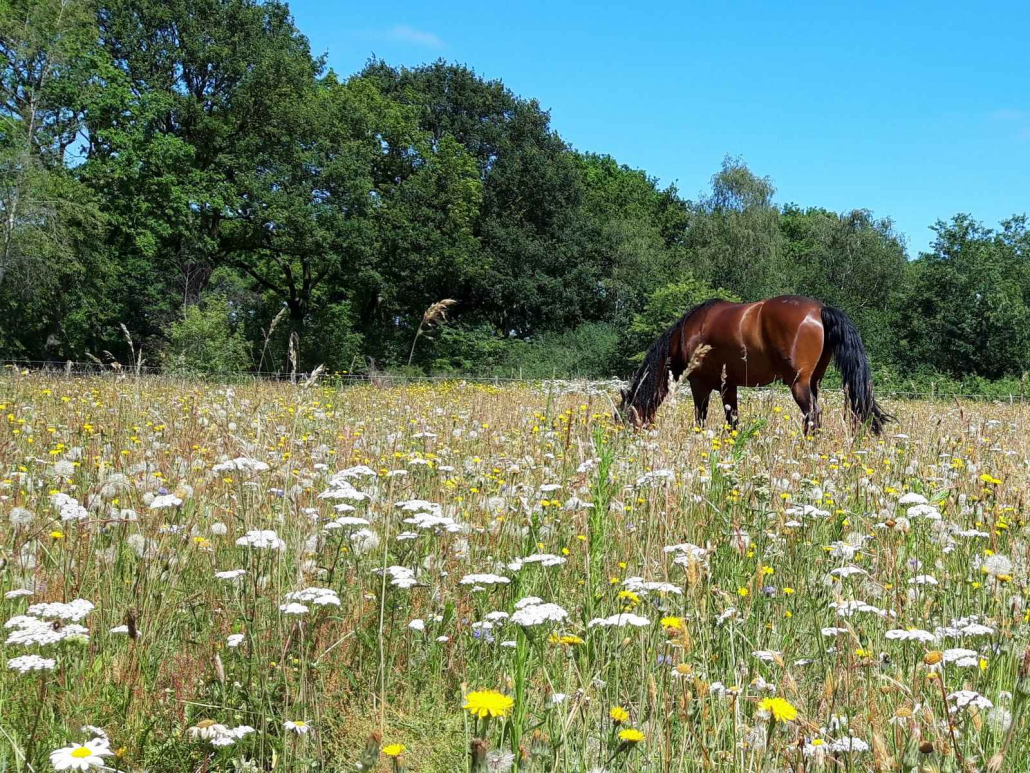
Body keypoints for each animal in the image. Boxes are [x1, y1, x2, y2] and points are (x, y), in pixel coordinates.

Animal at [618, 295, 893, 435]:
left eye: (625, 416)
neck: (687, 332)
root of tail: (820, 309)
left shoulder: (699, 385)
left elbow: (700, 418)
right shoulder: (729, 386)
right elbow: (732, 420)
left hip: (799, 384)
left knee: (812, 415)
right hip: (813, 383)